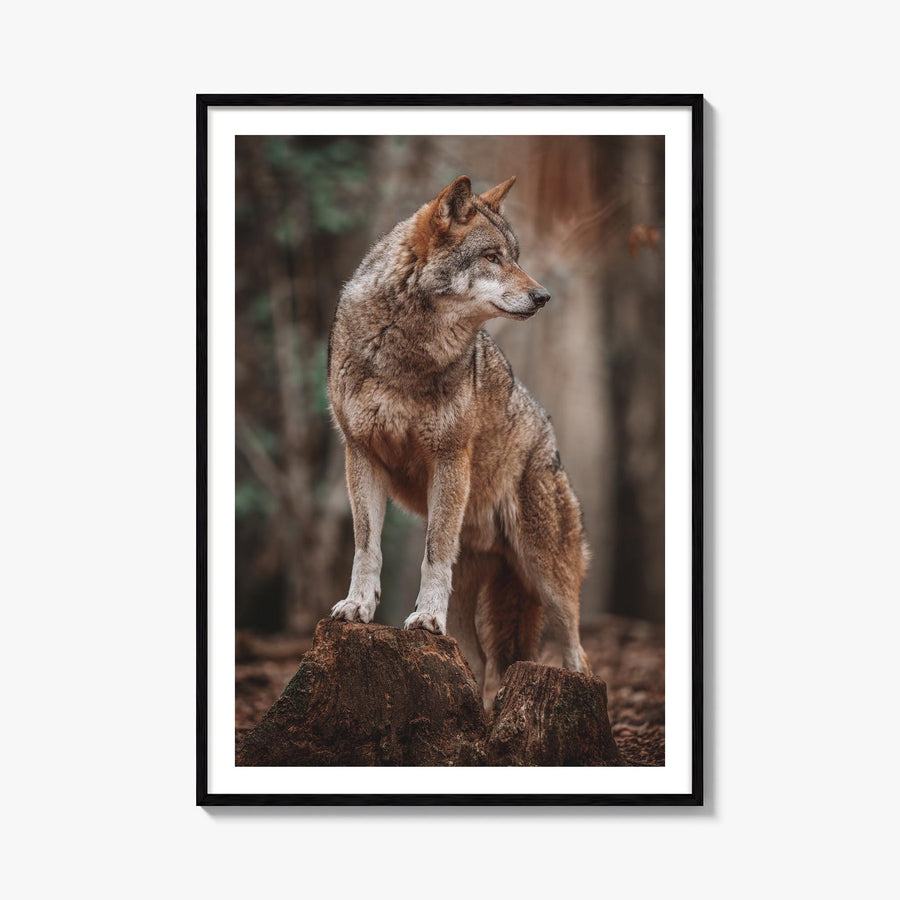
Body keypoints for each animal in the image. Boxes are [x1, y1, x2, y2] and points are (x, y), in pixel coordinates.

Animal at [327, 175, 591, 707]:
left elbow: (433, 552)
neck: (406, 349)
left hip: (547, 574)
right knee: (483, 664)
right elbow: (367, 545)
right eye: (492, 257)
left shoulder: (449, 458)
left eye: (515, 256)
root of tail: (549, 437)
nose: (543, 296)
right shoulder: (360, 453)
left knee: (578, 653)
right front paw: (359, 606)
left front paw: (426, 618)